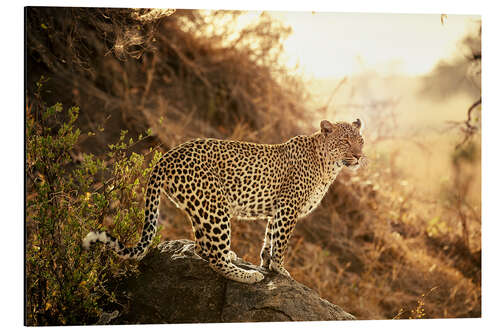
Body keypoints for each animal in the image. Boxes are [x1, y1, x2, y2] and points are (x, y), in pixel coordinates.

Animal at [81, 118, 364, 282]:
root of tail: (165, 157)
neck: (329, 166)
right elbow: (281, 242)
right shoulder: (288, 208)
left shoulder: (277, 210)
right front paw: (280, 269)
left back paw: (233, 257)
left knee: (201, 248)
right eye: (345, 141)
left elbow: (269, 238)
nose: (359, 156)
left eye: (360, 140)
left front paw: (267, 263)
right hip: (215, 206)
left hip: (200, 208)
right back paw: (246, 275)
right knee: (214, 258)